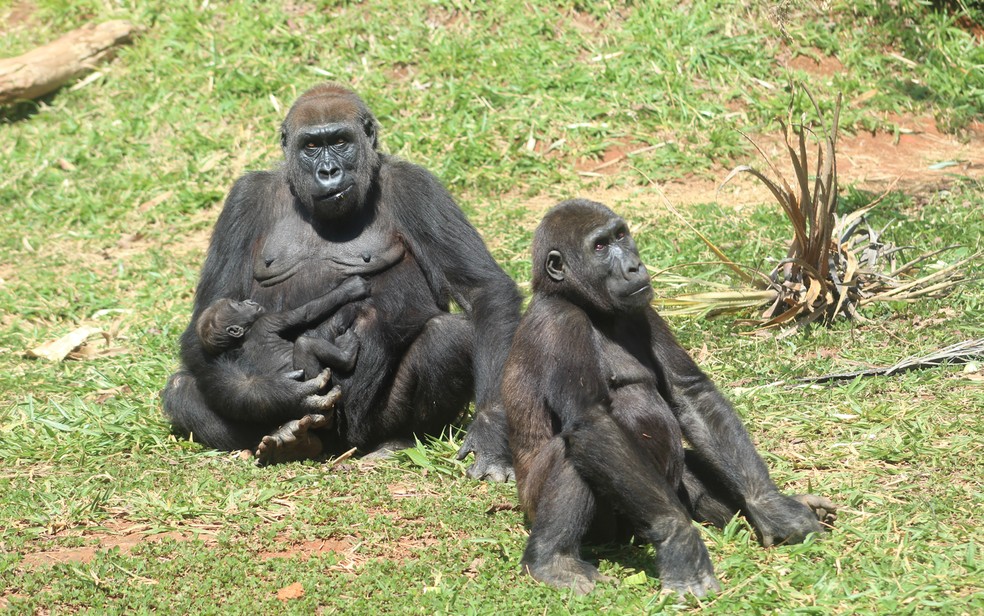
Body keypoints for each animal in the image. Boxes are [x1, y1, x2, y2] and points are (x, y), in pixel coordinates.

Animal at [195, 276, 368, 462]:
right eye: (239, 305)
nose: (249, 301)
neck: (242, 337)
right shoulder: (267, 320)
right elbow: (305, 313)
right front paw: (350, 288)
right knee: (304, 344)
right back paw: (346, 357)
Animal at [504, 200, 836, 596]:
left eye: (620, 235)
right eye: (599, 247)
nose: (633, 266)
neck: (579, 301)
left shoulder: (643, 307)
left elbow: (689, 393)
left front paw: (771, 506)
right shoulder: (560, 322)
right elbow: (592, 421)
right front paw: (679, 538)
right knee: (580, 448)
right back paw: (553, 560)